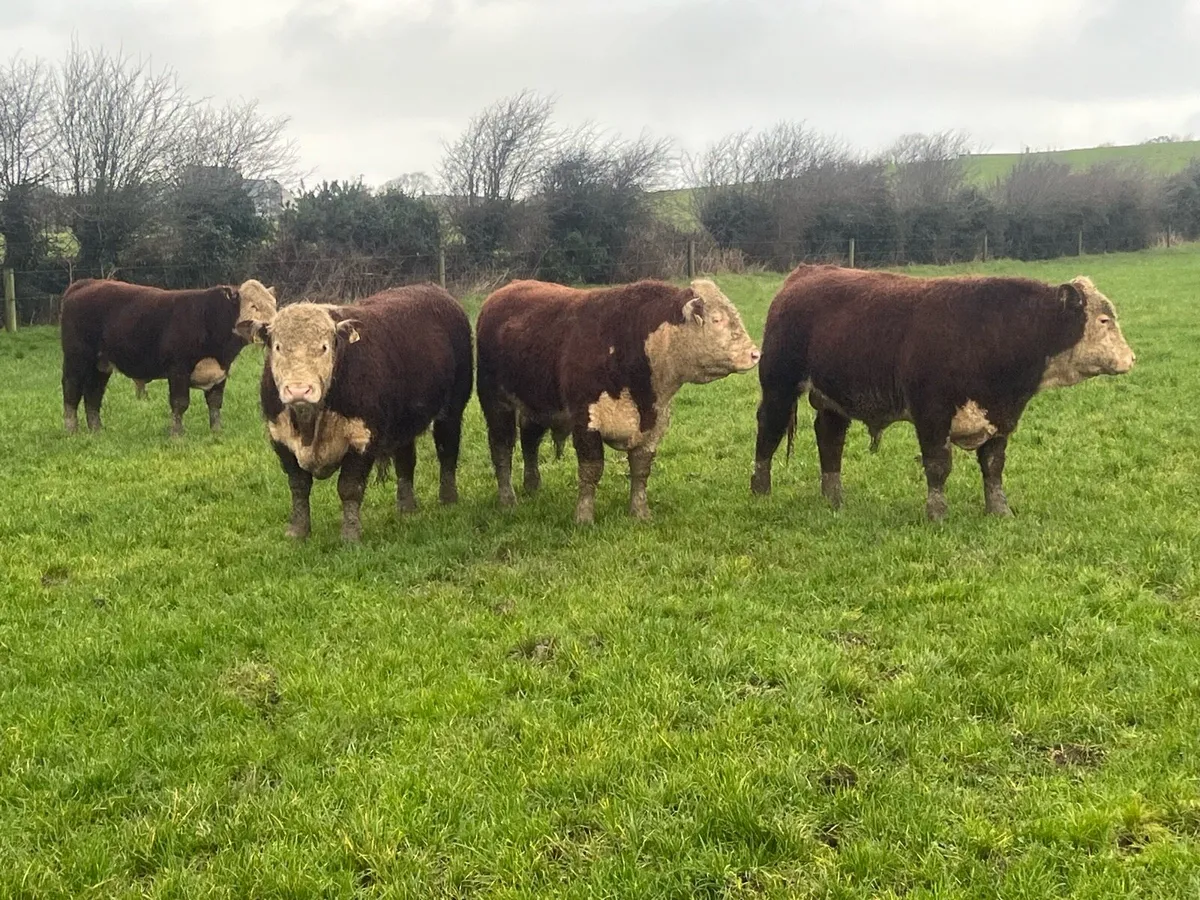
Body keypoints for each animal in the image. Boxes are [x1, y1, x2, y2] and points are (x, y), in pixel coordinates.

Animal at [60, 278, 278, 436]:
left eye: (273, 305)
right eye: (254, 306)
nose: (271, 327)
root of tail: (85, 283)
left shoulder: (220, 372)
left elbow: (215, 403)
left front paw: (217, 431)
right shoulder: (178, 369)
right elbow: (180, 403)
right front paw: (177, 434)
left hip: (101, 365)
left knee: (93, 394)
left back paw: (96, 430)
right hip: (76, 358)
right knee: (71, 390)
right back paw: (72, 430)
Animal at [245, 284, 473, 543]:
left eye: (324, 347)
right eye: (278, 347)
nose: (299, 390)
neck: (309, 423)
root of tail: (433, 289)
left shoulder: (362, 438)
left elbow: (349, 488)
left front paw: (350, 535)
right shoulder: (280, 439)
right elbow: (299, 485)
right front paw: (298, 531)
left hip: (453, 407)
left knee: (447, 450)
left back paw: (448, 499)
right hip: (403, 422)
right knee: (405, 461)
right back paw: (407, 508)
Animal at [476, 278, 761, 524]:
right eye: (717, 319)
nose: (755, 353)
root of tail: (505, 291)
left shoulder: (656, 423)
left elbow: (641, 469)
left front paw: (640, 512)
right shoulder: (587, 421)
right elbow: (591, 470)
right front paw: (584, 517)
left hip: (536, 405)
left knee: (530, 441)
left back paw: (532, 486)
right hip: (496, 402)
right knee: (501, 448)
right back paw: (508, 499)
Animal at [750, 265, 1136, 520]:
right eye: (1104, 320)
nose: (1131, 358)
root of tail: (807, 271)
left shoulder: (1001, 417)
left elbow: (993, 466)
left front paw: (1000, 511)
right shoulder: (931, 414)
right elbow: (938, 465)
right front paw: (936, 513)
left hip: (833, 400)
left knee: (830, 438)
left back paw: (834, 498)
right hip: (778, 385)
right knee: (768, 431)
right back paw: (760, 489)